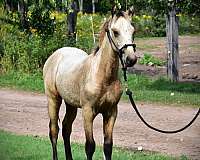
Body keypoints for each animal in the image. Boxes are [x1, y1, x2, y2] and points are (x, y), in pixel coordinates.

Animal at [43, 7, 138, 160]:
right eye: (115, 31)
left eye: (133, 31)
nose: (131, 59)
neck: (103, 77)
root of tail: (55, 55)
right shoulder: (88, 112)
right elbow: (90, 146)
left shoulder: (111, 112)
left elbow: (108, 146)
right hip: (53, 100)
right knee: (54, 131)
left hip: (71, 104)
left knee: (66, 129)